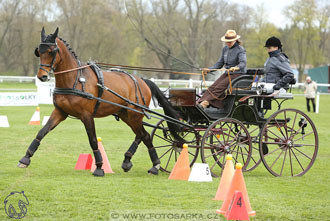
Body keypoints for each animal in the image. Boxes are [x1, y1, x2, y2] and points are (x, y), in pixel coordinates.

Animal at [17, 27, 180, 176]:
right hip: (126, 114)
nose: (42, 76)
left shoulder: (87, 115)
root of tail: (142, 80)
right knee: (142, 135)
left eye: (52, 51)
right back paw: (132, 161)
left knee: (143, 136)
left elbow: (93, 140)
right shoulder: (60, 112)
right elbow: (41, 132)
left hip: (135, 115)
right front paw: (25, 158)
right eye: (39, 51)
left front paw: (100, 167)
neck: (76, 79)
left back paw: (154, 165)